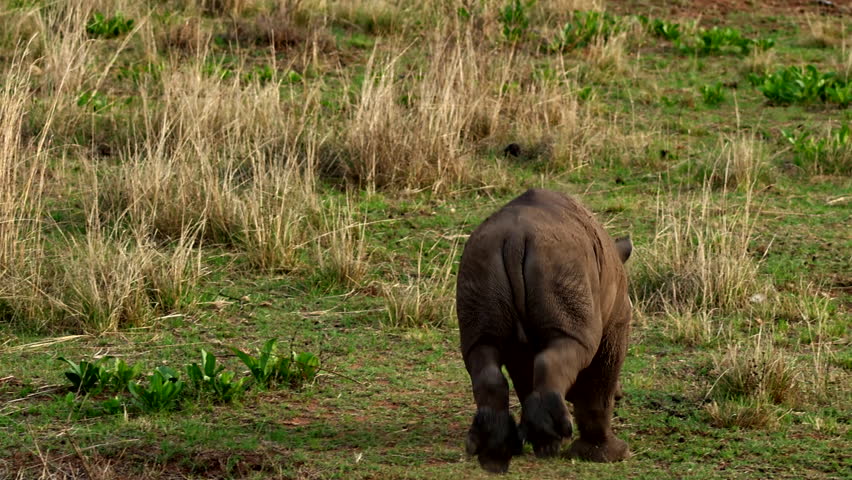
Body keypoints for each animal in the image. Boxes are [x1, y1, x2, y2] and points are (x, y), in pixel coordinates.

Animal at [456, 188, 633, 473]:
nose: (622, 395)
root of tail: (514, 239)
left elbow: (523, 376)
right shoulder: (617, 323)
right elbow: (599, 386)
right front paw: (608, 455)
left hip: (479, 262)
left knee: (482, 348)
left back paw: (497, 452)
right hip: (562, 264)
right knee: (571, 344)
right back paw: (550, 442)